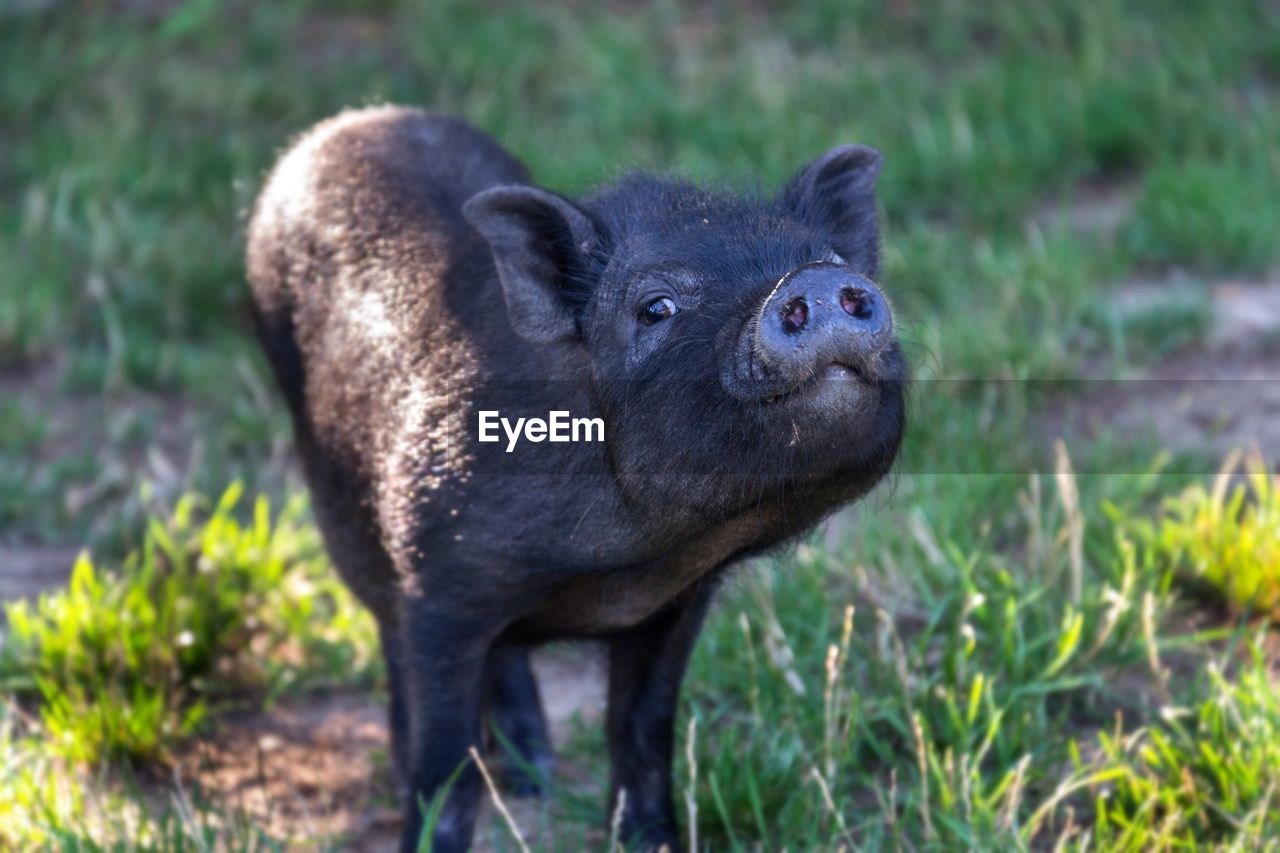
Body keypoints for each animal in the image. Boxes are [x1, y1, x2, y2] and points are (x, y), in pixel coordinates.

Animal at [247, 108, 901, 850]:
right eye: (655, 307)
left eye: (836, 261)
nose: (810, 279)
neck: (616, 566)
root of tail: (347, 123)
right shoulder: (436, 590)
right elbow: (446, 770)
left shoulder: (675, 605)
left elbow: (642, 735)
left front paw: (651, 839)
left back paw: (538, 777)